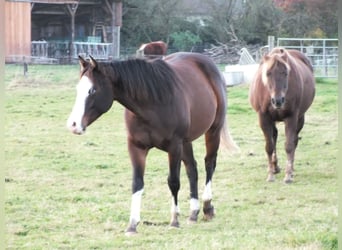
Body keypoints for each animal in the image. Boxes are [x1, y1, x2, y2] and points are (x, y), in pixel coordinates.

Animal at [66, 51, 238, 233]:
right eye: (78, 89)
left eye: (92, 90)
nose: (73, 125)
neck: (151, 105)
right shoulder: (136, 147)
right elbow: (137, 183)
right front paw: (132, 225)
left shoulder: (174, 146)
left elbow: (173, 181)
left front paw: (174, 220)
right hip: (186, 142)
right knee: (192, 169)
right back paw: (193, 212)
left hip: (213, 131)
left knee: (209, 164)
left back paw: (207, 207)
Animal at [248, 47, 316, 184]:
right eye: (268, 73)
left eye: (285, 73)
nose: (278, 101)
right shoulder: (264, 118)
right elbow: (269, 146)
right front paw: (270, 175)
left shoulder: (291, 117)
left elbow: (289, 146)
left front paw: (288, 175)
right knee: (274, 136)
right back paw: (275, 167)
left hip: (300, 118)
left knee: (294, 141)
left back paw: (291, 169)